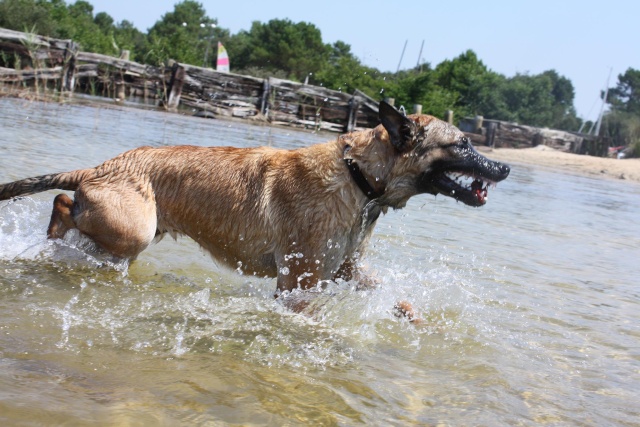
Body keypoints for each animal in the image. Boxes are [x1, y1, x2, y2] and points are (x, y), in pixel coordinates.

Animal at [0, 100, 510, 314]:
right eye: (462, 143)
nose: (504, 167)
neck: (360, 176)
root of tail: (95, 168)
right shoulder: (299, 282)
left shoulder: (346, 269)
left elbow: (388, 291)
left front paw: (410, 314)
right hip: (133, 228)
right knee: (62, 203)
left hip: (127, 236)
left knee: (67, 208)